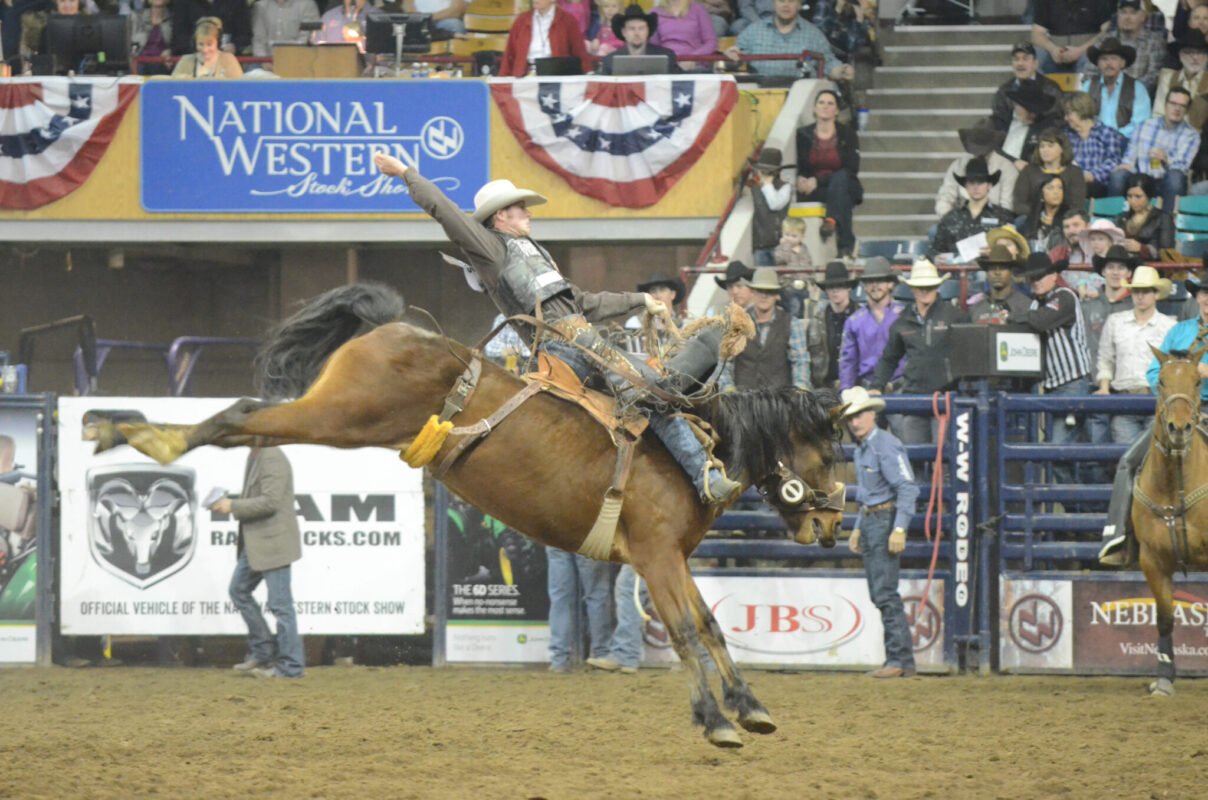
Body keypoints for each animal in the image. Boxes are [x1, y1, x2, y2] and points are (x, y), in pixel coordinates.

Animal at [85, 285, 845, 749]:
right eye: (832, 446)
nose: (835, 524)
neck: (693, 445)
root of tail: (395, 329)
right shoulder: (655, 557)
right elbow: (687, 633)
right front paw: (716, 720)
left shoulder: (670, 561)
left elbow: (712, 626)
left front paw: (750, 706)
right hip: (341, 416)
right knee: (244, 414)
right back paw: (137, 435)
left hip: (342, 420)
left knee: (247, 422)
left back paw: (131, 433)